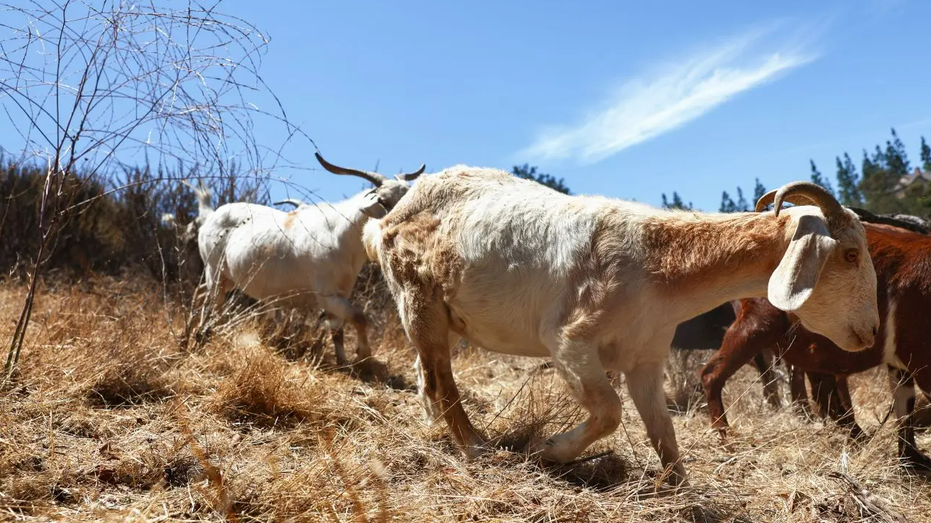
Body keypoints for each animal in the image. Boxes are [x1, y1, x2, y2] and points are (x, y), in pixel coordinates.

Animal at [187, 151, 426, 364]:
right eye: (384, 201)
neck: (339, 235)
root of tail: (211, 216)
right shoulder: (327, 294)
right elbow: (359, 316)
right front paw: (363, 355)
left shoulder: (341, 293)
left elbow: (338, 329)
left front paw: (342, 361)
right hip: (214, 272)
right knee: (213, 304)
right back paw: (205, 332)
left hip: (225, 279)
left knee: (201, 294)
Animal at [362, 167, 880, 488]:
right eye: (851, 254)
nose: (872, 331)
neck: (656, 266)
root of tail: (390, 216)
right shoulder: (570, 342)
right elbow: (610, 411)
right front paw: (550, 450)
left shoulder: (645, 358)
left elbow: (664, 434)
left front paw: (679, 488)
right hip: (418, 297)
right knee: (441, 380)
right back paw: (476, 448)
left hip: (441, 317)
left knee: (427, 374)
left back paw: (438, 431)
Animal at [704, 222, 931, 470]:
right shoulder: (920, 360)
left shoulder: (901, 362)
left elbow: (904, 408)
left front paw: (912, 461)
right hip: (761, 322)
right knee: (712, 373)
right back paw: (726, 438)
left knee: (825, 394)